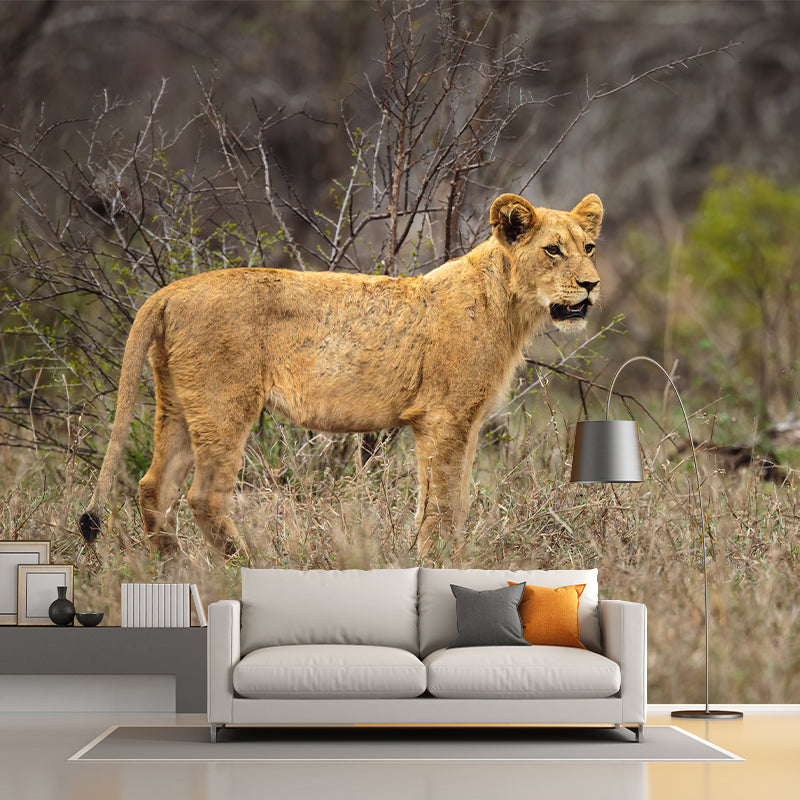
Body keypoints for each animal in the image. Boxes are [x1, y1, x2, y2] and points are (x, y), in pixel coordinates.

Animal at [79, 192, 603, 560]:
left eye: (589, 247)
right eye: (553, 250)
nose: (592, 284)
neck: (510, 306)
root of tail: (169, 291)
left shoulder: (463, 423)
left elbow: (454, 499)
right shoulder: (444, 418)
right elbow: (442, 502)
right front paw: (437, 561)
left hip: (178, 406)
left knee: (153, 486)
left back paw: (175, 566)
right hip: (223, 404)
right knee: (203, 496)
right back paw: (242, 564)